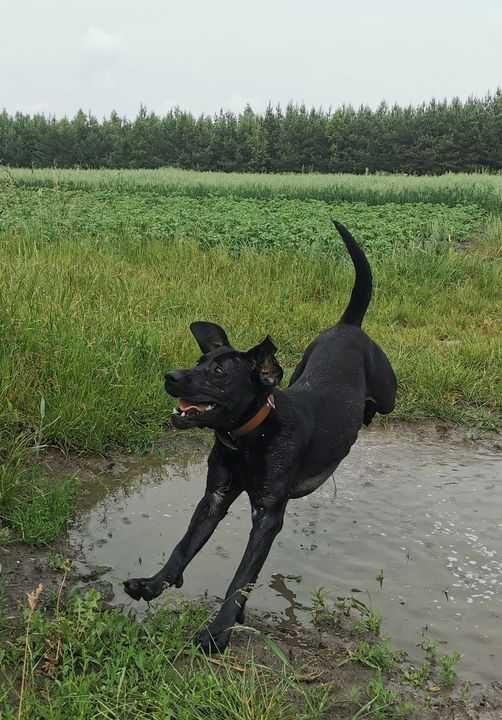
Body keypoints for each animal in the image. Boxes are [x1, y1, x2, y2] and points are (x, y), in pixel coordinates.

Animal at [124, 221, 396, 652]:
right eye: (200, 359)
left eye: (219, 372)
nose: (171, 376)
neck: (248, 439)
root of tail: (348, 326)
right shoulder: (215, 497)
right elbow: (184, 546)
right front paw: (153, 584)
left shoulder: (267, 515)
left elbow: (240, 579)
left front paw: (217, 631)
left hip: (388, 389)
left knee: (381, 404)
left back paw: (366, 414)